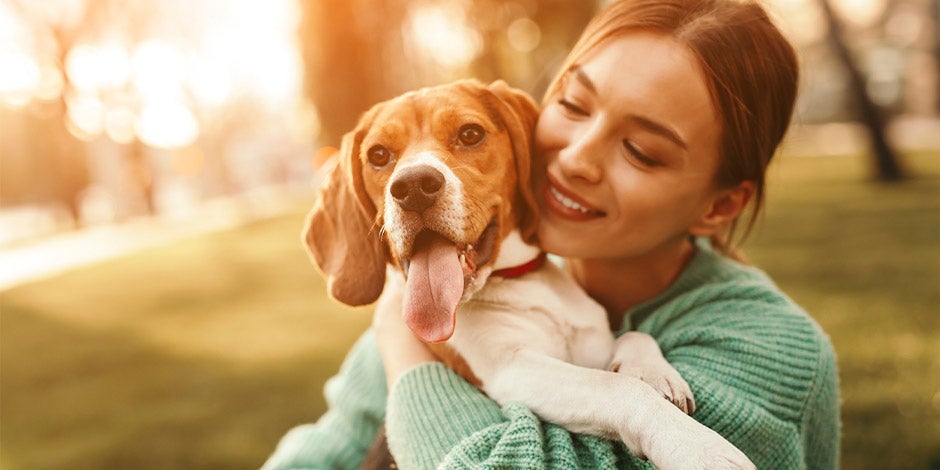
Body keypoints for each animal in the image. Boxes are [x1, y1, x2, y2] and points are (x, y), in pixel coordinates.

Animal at [304, 79, 752, 468]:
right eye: (379, 155)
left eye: (470, 134)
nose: (413, 186)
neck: (519, 281)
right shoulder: (513, 370)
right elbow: (617, 389)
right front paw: (697, 448)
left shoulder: (593, 343)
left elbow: (634, 338)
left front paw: (653, 372)